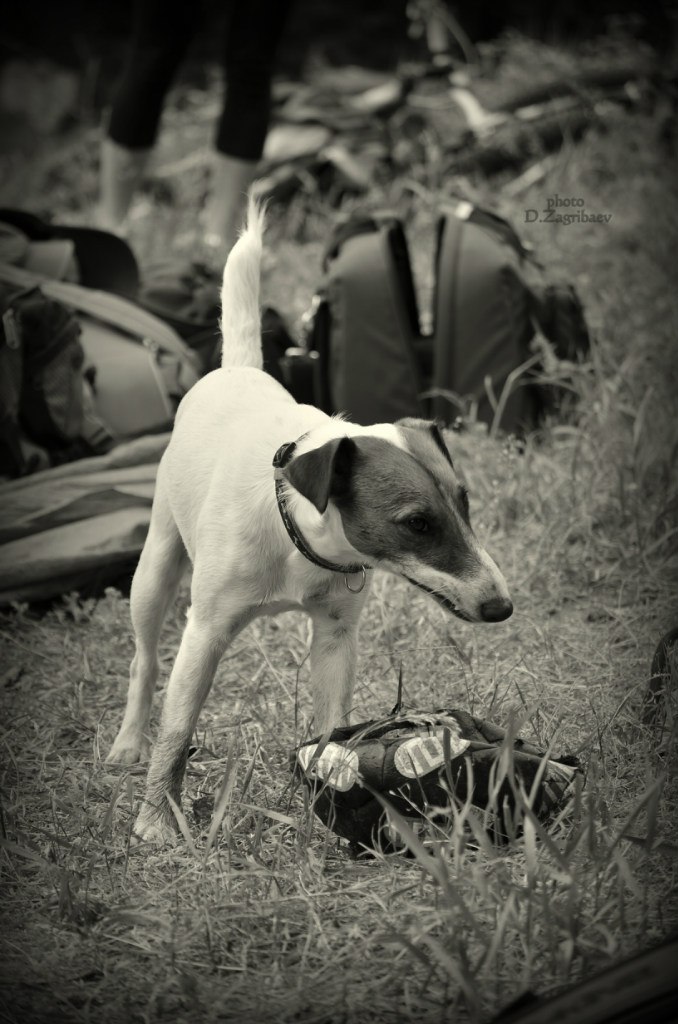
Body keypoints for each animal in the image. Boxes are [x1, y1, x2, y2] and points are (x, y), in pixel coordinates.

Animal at [107, 197, 510, 839]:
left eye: (465, 502)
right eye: (418, 523)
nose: (502, 607)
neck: (299, 531)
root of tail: (237, 368)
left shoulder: (337, 638)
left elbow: (332, 726)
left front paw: (331, 792)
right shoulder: (204, 633)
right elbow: (176, 731)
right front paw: (155, 820)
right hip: (155, 568)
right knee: (144, 661)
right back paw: (126, 743)